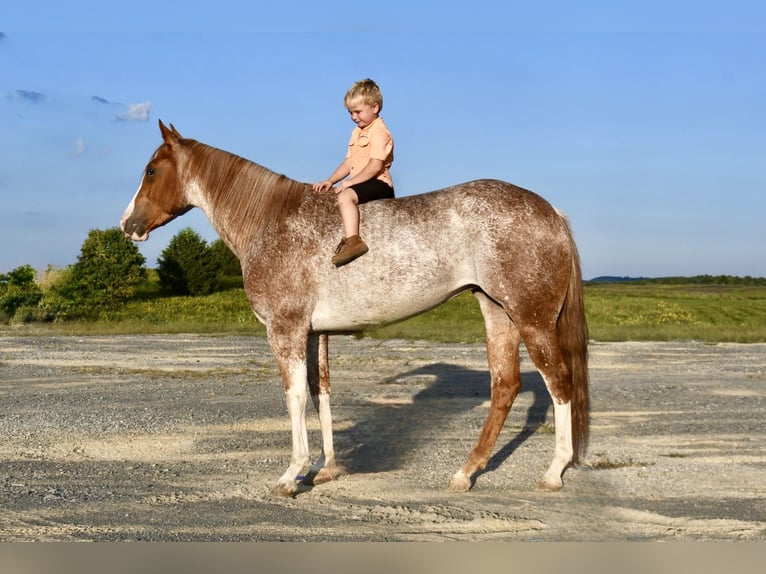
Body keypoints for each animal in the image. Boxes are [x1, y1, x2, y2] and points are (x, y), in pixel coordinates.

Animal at [121, 120, 589, 497]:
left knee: (559, 381)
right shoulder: (315, 334)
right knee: (505, 386)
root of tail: (550, 211)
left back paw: (553, 472)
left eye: (151, 170)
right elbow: (320, 393)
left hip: (532, 320)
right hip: (496, 312)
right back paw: (466, 473)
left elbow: (294, 397)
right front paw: (325, 469)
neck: (269, 220)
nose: (128, 225)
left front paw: (291, 476)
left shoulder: (286, 330)